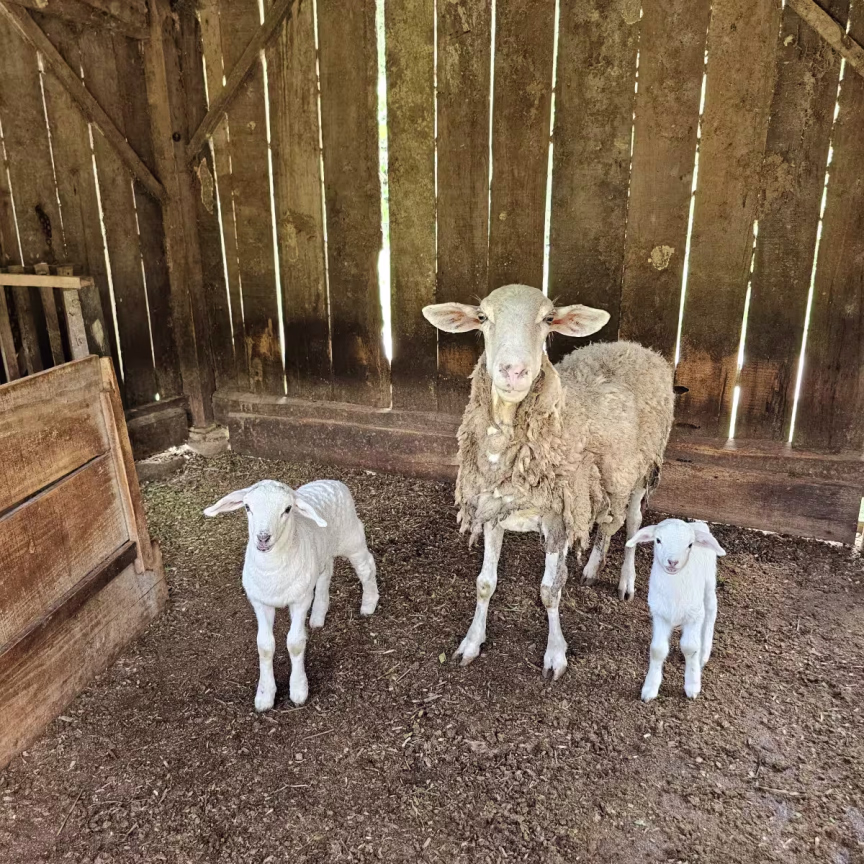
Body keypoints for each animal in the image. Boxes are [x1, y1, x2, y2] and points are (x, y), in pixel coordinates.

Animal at [203, 479, 379, 711]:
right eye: (247, 507)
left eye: (287, 509)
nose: (263, 538)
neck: (273, 570)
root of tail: (332, 481)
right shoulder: (260, 602)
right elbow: (264, 646)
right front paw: (265, 696)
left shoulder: (301, 599)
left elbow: (295, 644)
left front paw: (298, 690)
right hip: (321, 553)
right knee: (326, 573)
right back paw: (318, 616)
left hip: (352, 538)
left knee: (366, 567)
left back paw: (369, 603)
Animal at [423, 283, 674, 680]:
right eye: (482, 317)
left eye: (548, 318)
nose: (513, 370)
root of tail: (637, 347)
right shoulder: (494, 510)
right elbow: (484, 584)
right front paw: (472, 642)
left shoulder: (558, 517)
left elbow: (549, 590)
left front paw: (555, 654)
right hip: (604, 483)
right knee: (606, 523)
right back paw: (592, 567)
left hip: (642, 467)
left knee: (632, 523)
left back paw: (626, 581)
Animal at [626, 518, 726, 701]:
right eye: (658, 540)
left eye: (690, 544)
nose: (672, 562)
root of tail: (698, 524)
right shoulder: (659, 614)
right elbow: (657, 650)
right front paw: (650, 688)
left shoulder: (694, 615)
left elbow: (690, 648)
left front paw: (692, 686)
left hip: (709, 583)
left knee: (711, 611)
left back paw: (704, 653)